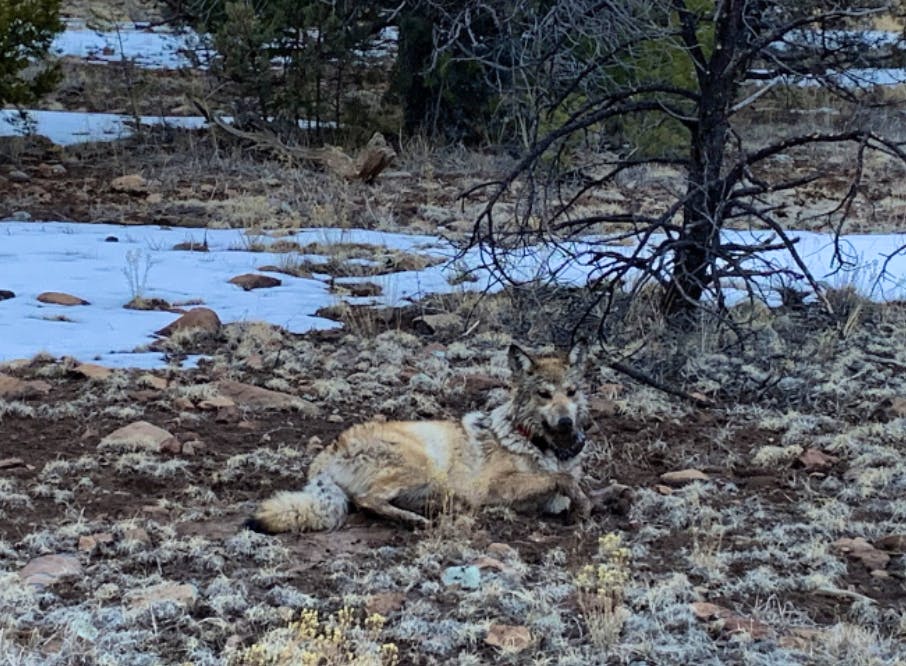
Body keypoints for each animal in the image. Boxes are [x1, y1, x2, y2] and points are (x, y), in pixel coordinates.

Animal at [245, 343, 592, 533]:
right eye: (544, 395)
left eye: (571, 392)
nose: (566, 423)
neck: (539, 442)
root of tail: (325, 457)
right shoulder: (495, 488)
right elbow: (562, 479)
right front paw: (583, 502)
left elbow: (569, 484)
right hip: (422, 465)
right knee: (366, 500)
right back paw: (415, 519)